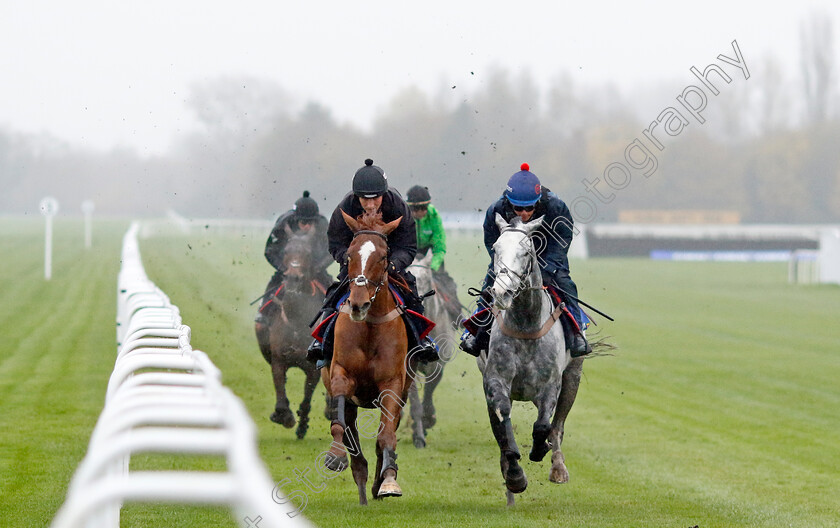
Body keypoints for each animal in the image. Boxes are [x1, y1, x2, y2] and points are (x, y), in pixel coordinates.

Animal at [254, 229, 326, 440]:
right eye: (286, 250)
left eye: (308, 252)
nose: (293, 277)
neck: (296, 320)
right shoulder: (279, 360)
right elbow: (280, 389)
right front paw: (283, 415)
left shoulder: (312, 368)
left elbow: (307, 398)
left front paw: (302, 425)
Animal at [322, 209, 414, 504]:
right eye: (350, 255)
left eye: (384, 257)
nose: (358, 304)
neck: (370, 326)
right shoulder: (340, 374)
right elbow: (339, 426)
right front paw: (335, 455)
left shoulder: (392, 385)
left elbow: (386, 437)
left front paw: (388, 483)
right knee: (352, 439)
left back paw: (377, 483)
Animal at [406, 250, 456, 448]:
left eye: (426, 278)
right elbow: (415, 403)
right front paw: (419, 437)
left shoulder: (438, 365)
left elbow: (428, 395)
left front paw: (428, 420)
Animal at [480, 212, 584, 506]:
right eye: (496, 249)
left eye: (527, 251)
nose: (501, 292)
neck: (526, 324)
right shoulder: (495, 380)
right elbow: (503, 421)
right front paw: (514, 474)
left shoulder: (551, 384)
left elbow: (543, 425)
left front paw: (539, 450)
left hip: (573, 377)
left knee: (558, 425)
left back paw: (558, 467)